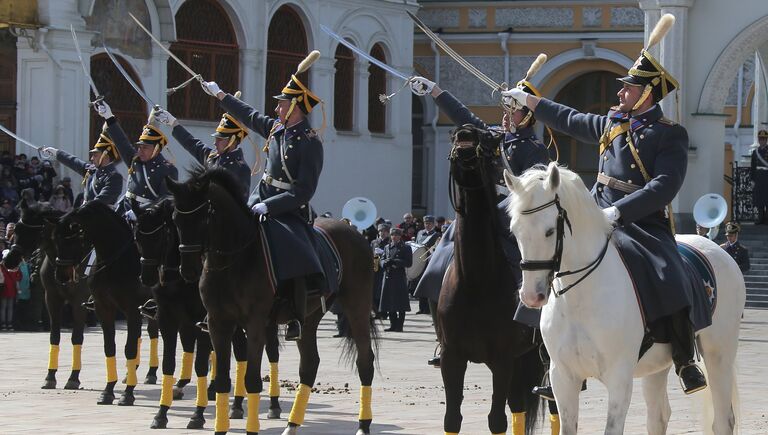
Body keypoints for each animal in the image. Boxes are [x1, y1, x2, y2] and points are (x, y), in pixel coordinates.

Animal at [3, 202, 90, 392]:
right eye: (16, 229)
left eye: (32, 232)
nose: (8, 261)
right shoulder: (51, 299)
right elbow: (54, 336)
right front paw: (50, 376)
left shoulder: (79, 301)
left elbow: (76, 337)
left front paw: (73, 378)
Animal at [53, 203, 156, 408]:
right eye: (56, 240)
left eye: (73, 240)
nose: (61, 275)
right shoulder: (103, 308)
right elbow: (110, 347)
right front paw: (108, 391)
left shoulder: (132, 309)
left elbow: (129, 348)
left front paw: (127, 394)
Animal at [166, 169, 376, 435]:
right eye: (175, 219)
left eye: (203, 218)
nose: (188, 270)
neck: (236, 258)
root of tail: (353, 231)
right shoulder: (217, 322)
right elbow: (222, 379)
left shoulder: (255, 322)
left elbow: (252, 379)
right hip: (309, 316)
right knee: (309, 364)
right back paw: (292, 425)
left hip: (357, 306)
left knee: (365, 361)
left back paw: (363, 425)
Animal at [438, 126, 544, 435]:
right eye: (455, 136)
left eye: (484, 140)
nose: (464, 144)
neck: (476, 281)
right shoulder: (451, 357)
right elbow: (452, 418)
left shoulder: (502, 359)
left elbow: (497, 420)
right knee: (519, 404)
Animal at [504, 164, 744, 435]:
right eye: (514, 231)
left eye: (549, 231)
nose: (531, 296)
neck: (580, 298)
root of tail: (718, 250)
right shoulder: (563, 377)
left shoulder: (619, 377)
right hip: (658, 365)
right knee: (658, 417)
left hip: (719, 353)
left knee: (723, 419)